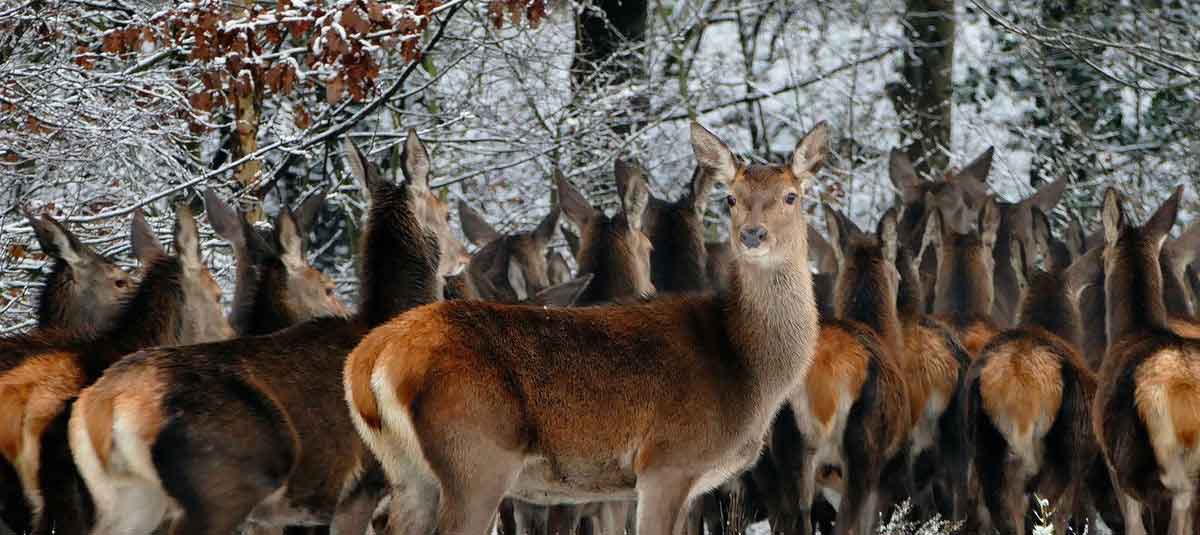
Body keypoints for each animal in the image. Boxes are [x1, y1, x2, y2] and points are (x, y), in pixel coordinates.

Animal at [343, 119, 830, 535]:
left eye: (792, 195)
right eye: (731, 197)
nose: (753, 234)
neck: (747, 368)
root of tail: (368, 361)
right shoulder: (666, 462)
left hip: (407, 471)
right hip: (474, 457)